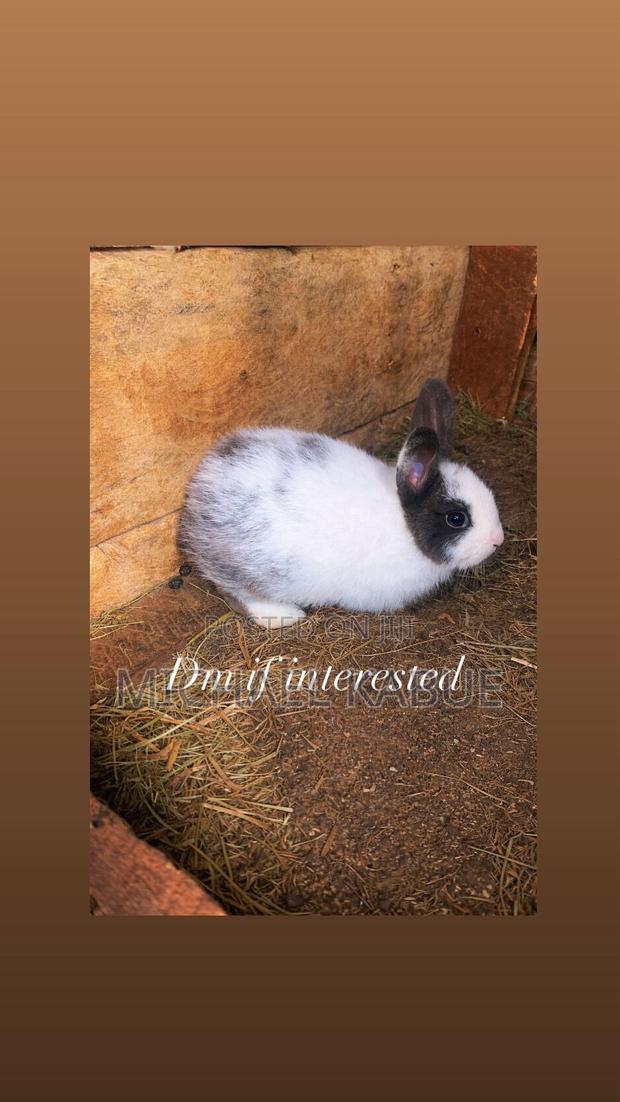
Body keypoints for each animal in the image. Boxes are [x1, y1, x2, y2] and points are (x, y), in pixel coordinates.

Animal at [179, 378, 504, 628]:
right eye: (457, 518)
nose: (497, 540)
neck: (404, 524)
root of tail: (200, 489)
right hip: (252, 572)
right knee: (239, 594)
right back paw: (285, 616)